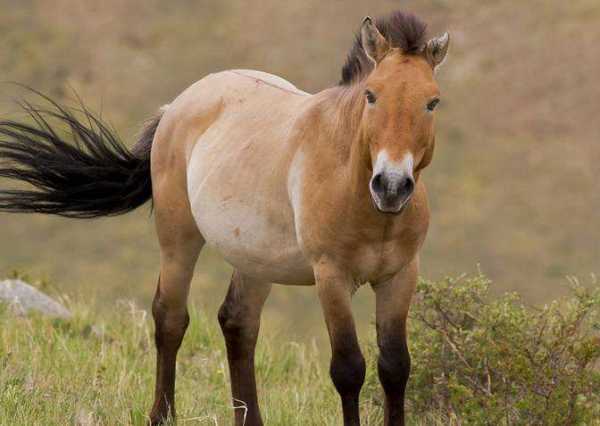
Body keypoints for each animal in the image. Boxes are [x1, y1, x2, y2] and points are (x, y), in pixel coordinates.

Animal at [1, 10, 450, 426]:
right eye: (372, 95)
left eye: (432, 102)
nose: (391, 185)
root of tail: (178, 104)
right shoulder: (332, 277)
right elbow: (349, 369)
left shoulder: (399, 276)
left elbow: (395, 367)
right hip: (178, 236)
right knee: (170, 317)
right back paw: (161, 415)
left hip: (255, 260)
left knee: (238, 323)